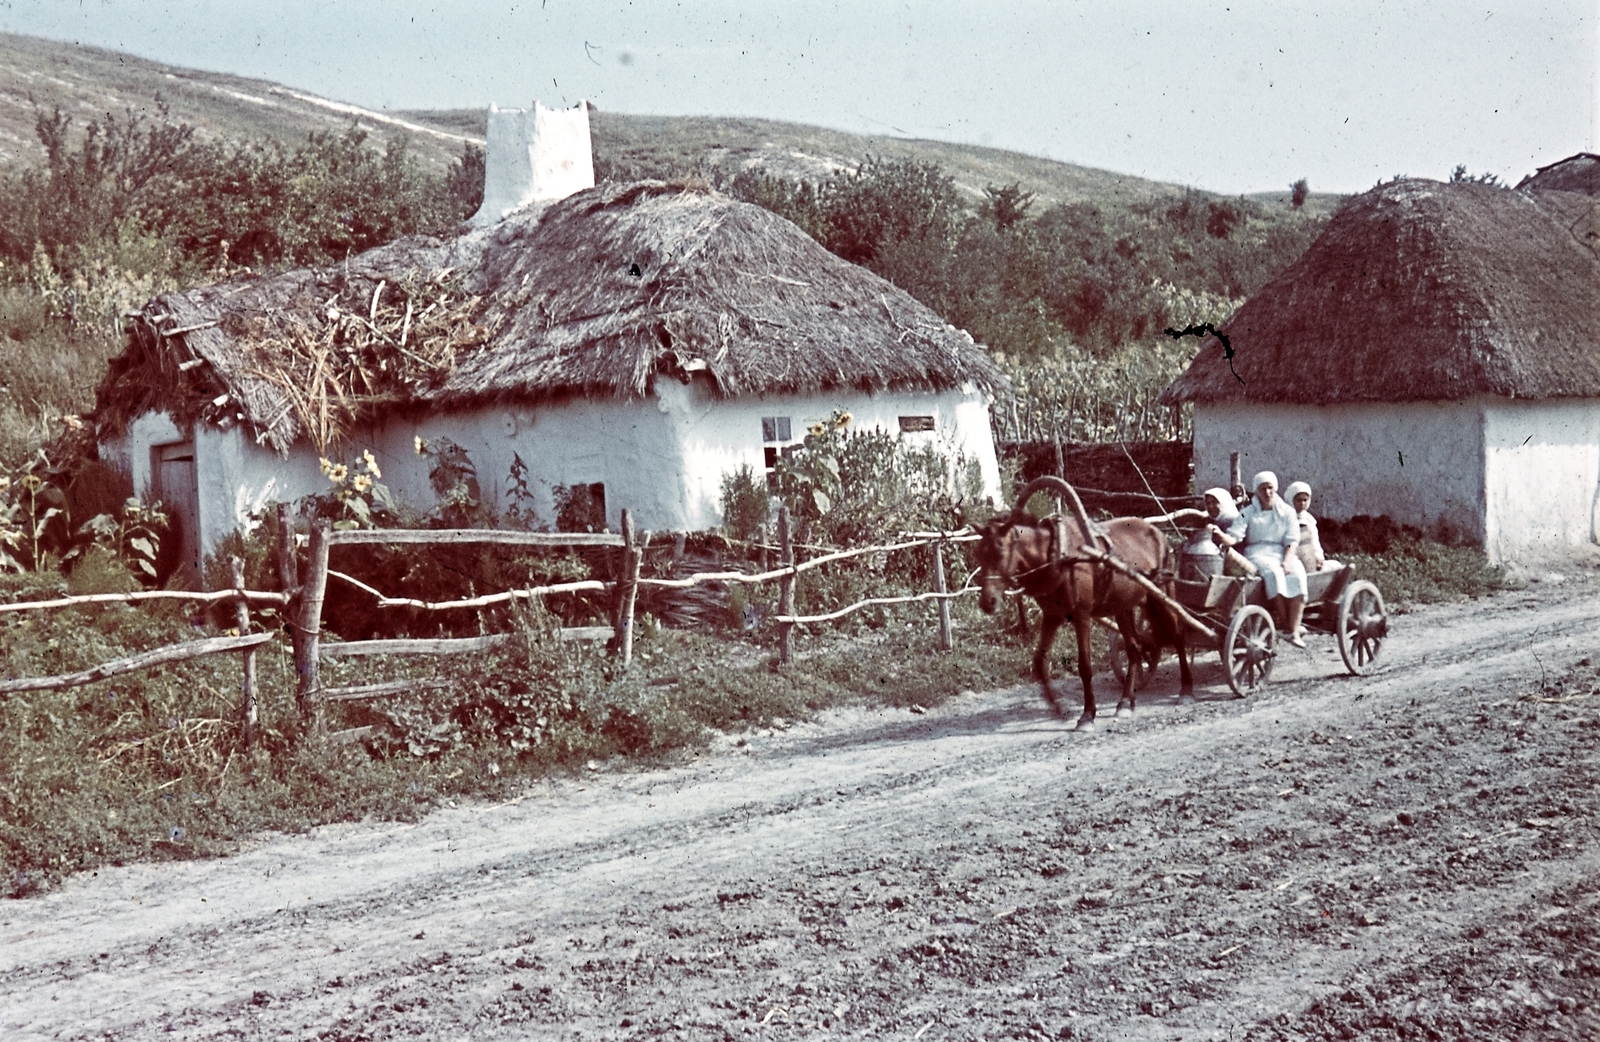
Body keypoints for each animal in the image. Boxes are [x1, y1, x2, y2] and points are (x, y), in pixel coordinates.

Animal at [966, 473, 1196, 729]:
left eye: (1000, 552)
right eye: (978, 554)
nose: (988, 602)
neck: (1058, 555)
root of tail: (1158, 532)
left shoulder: (1081, 615)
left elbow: (1085, 666)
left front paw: (1087, 715)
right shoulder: (1052, 616)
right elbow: (1039, 663)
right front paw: (1059, 709)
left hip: (1162, 594)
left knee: (1178, 636)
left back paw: (1186, 690)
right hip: (1123, 605)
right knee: (1134, 649)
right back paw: (1126, 702)